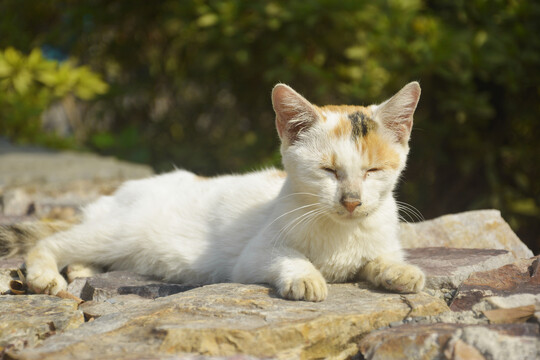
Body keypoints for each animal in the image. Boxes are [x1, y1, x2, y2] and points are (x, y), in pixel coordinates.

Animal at [3, 82, 426, 300]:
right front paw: (306, 278)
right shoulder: (252, 257)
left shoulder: (381, 237)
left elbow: (379, 258)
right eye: (328, 171)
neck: (342, 232)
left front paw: (399, 272)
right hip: (119, 231)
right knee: (51, 242)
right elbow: (288, 257)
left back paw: (81, 268)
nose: (352, 201)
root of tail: (116, 195)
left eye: (373, 171)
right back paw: (45, 276)